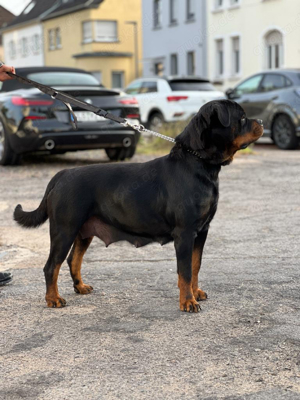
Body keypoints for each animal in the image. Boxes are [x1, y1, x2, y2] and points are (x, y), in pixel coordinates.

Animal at [13, 100, 262, 312]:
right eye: (241, 118)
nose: (261, 121)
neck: (198, 162)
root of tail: (61, 175)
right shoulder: (185, 232)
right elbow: (184, 271)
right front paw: (187, 302)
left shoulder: (202, 231)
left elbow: (195, 265)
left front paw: (195, 292)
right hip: (64, 229)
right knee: (51, 266)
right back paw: (53, 299)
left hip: (84, 231)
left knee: (73, 259)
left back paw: (80, 287)